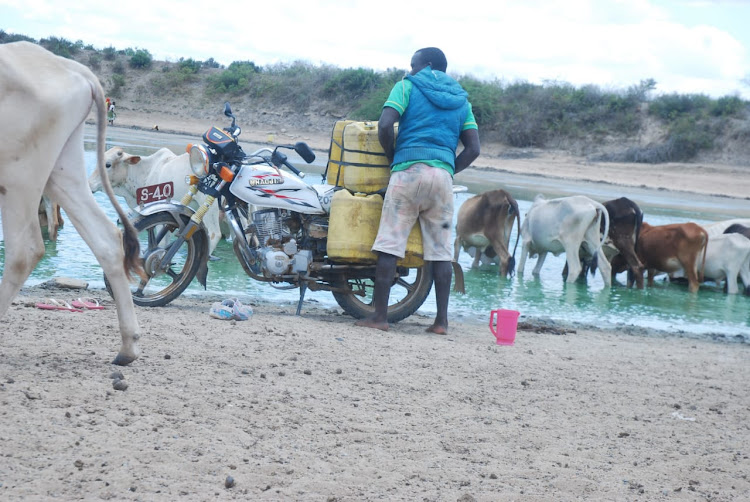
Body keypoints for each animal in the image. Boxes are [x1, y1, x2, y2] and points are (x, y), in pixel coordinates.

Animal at [1, 42, 144, 364]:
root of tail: (72, 67)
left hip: (19, 173)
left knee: (24, 251)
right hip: (62, 169)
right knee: (107, 239)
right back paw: (127, 347)